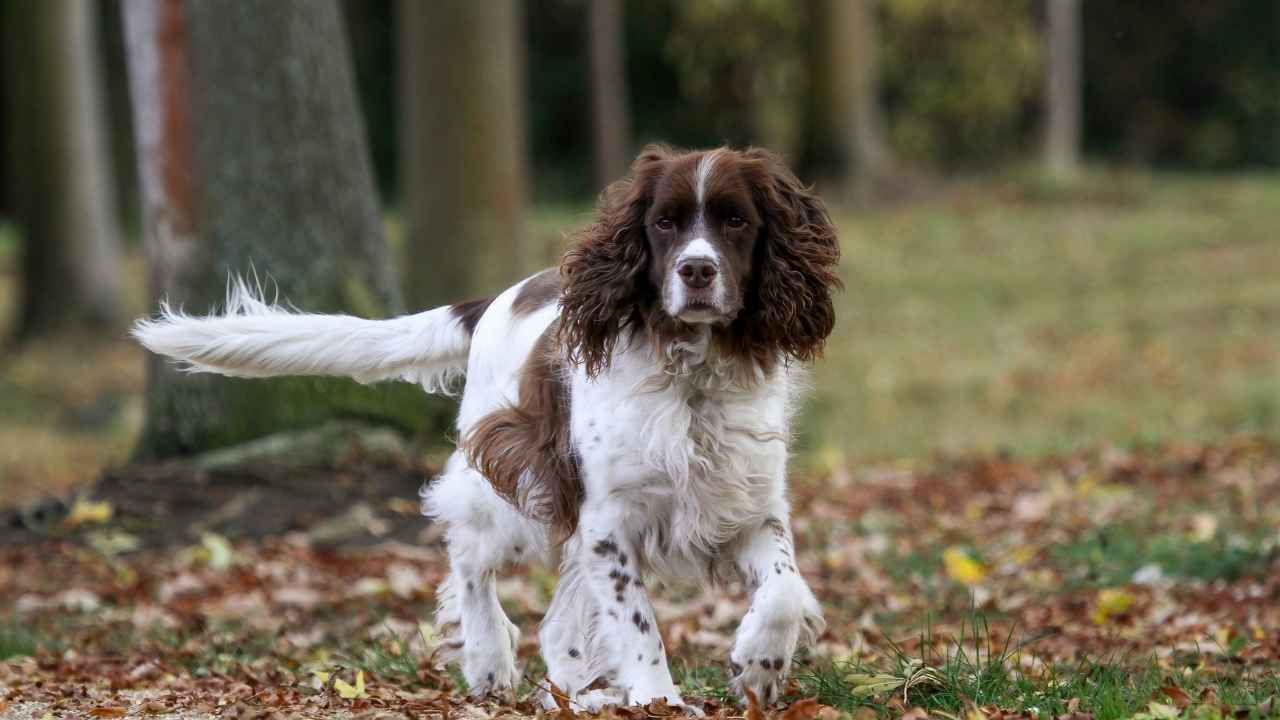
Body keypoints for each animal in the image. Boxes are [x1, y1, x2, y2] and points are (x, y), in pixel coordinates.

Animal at [135, 142, 839, 707]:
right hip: (515, 486)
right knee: (468, 554)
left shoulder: (747, 508)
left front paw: (759, 665)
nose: (696, 270)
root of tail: (495, 299)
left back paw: (574, 691)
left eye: (736, 220)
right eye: (664, 222)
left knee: (557, 624)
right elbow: (637, 623)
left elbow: (783, 589)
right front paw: (657, 698)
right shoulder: (607, 520)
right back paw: (488, 659)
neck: (692, 380)